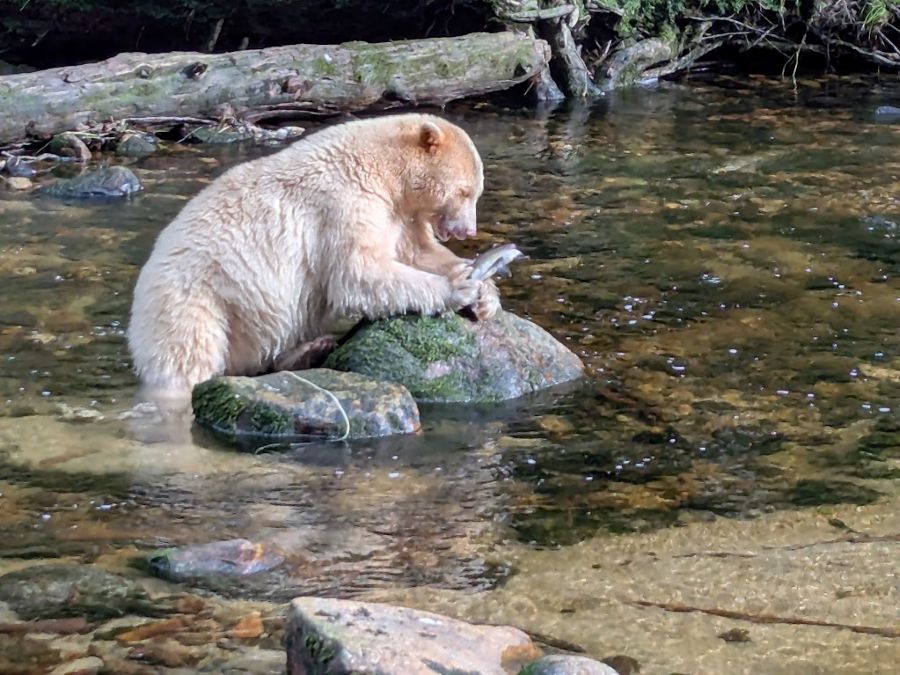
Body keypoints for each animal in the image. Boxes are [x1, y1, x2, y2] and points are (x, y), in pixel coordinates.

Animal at [127, 113, 500, 402]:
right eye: (464, 191)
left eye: (476, 192)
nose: (468, 231)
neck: (384, 168)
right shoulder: (345, 202)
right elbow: (358, 273)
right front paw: (457, 289)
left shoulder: (399, 215)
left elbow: (417, 251)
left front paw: (485, 293)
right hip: (194, 298)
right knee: (187, 356)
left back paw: (309, 350)